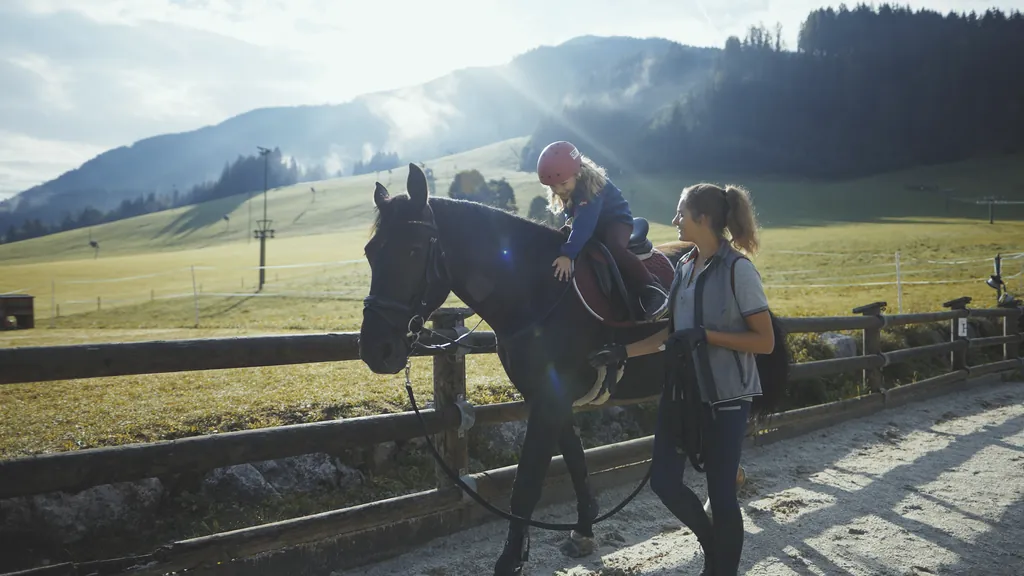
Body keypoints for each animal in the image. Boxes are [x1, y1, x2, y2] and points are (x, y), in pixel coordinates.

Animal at [358, 163, 788, 575]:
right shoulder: (548, 398)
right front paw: (582, 530)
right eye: (370, 251)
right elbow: (575, 460)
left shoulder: (548, 402)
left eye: (414, 250)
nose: (376, 349)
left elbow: (527, 483)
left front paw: (510, 560)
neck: (536, 291)